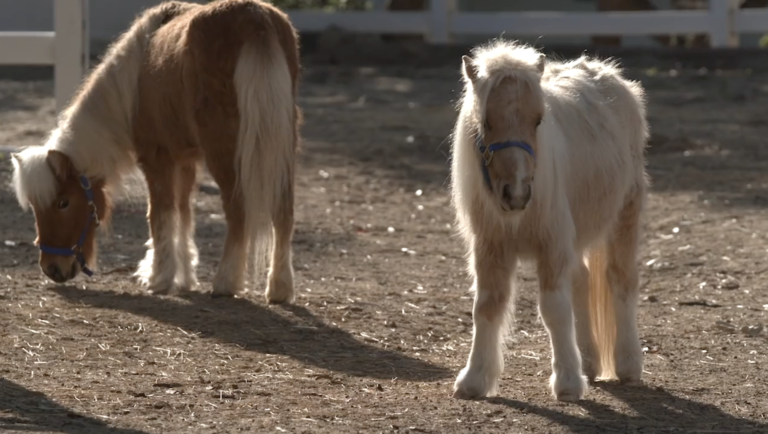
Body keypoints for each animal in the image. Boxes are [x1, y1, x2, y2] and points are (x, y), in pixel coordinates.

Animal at [12, 0, 300, 304]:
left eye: (63, 203)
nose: (52, 268)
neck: (133, 84)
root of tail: (254, 17)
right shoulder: (184, 159)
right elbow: (183, 214)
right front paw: (184, 277)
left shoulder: (155, 159)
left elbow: (160, 214)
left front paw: (159, 277)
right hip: (283, 147)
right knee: (283, 213)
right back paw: (279, 288)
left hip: (224, 151)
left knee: (238, 211)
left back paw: (226, 282)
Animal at [450, 41, 648, 404]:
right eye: (486, 121)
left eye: (538, 120)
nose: (516, 192)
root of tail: (610, 76)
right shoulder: (490, 248)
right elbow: (486, 307)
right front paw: (474, 380)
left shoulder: (552, 245)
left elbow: (554, 309)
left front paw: (567, 382)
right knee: (582, 279)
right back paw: (589, 362)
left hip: (624, 215)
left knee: (621, 280)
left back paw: (628, 364)